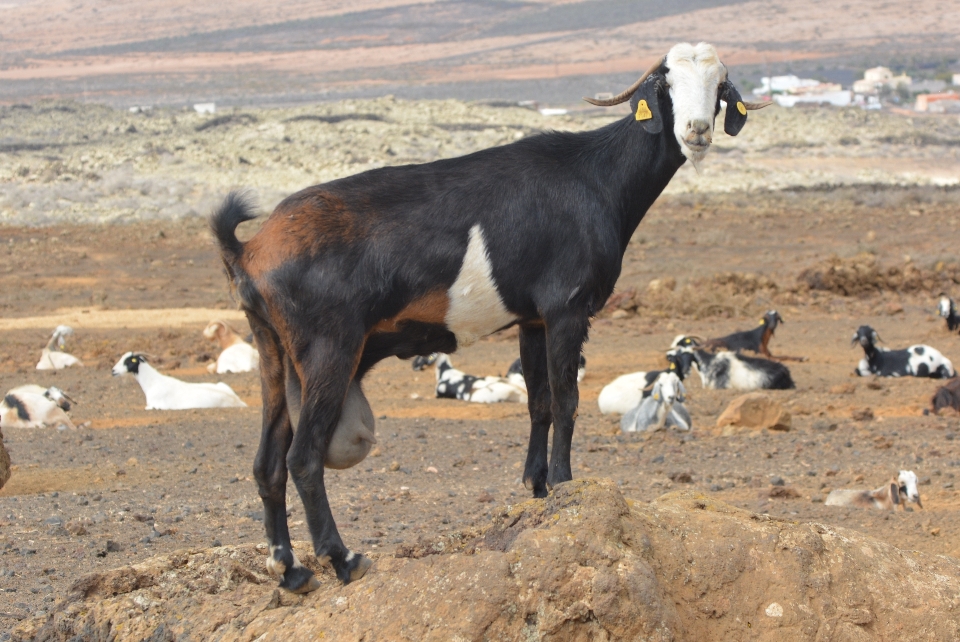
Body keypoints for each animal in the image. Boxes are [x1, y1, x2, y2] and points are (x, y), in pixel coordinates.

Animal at [210, 41, 764, 592]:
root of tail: (249, 249)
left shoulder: (532, 319)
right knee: (303, 458)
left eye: (719, 87)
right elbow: (566, 400)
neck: (595, 176)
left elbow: (539, 402)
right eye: (667, 81)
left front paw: (536, 486)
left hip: (273, 351)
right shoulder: (566, 309)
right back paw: (342, 559)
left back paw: (289, 567)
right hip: (330, 348)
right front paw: (564, 483)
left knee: (267, 463)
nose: (696, 130)